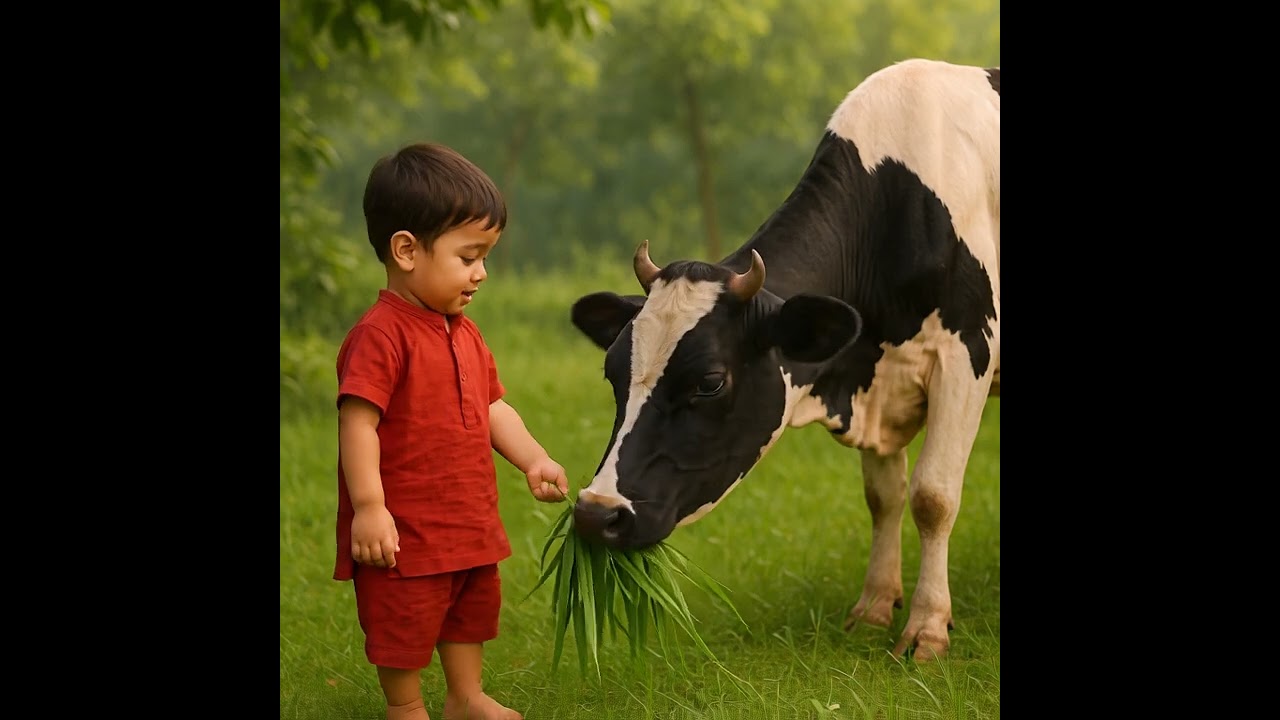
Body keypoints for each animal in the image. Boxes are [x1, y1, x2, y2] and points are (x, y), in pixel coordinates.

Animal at [567, 58, 1000, 660]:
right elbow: (883, 496)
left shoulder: (966, 356)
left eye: (709, 382)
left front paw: (927, 628)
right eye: (612, 372)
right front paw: (873, 607)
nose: (595, 512)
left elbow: (932, 496)